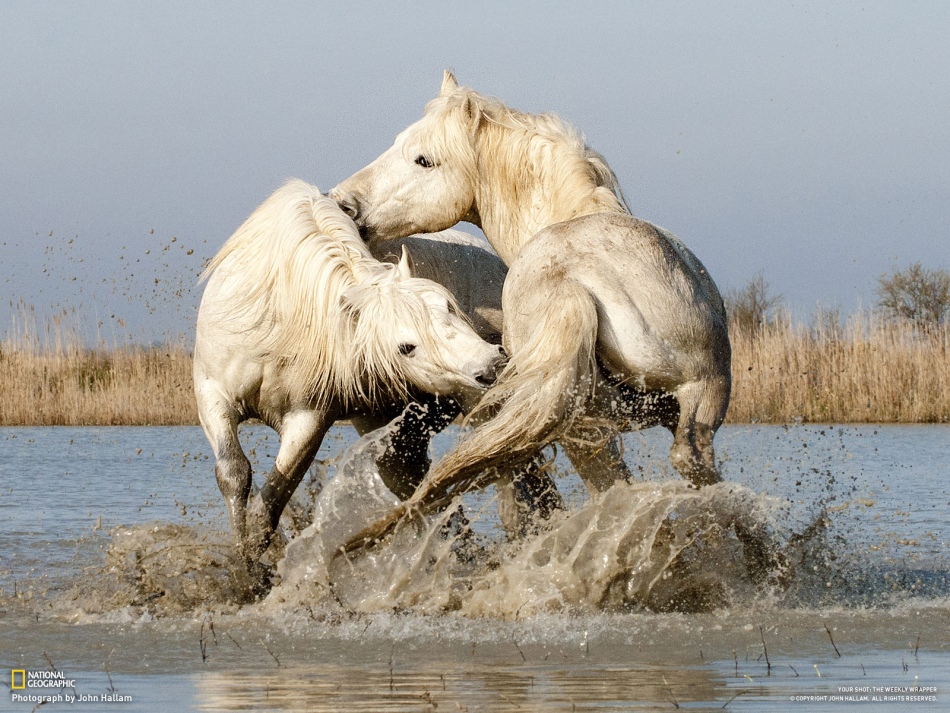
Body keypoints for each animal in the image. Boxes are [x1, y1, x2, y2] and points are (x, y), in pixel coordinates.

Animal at [190, 177, 510, 580]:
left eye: (449, 307)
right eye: (406, 347)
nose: (490, 363)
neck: (281, 314)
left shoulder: (308, 420)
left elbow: (269, 506)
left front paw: (253, 572)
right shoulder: (211, 394)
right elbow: (234, 473)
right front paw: (245, 572)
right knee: (412, 480)